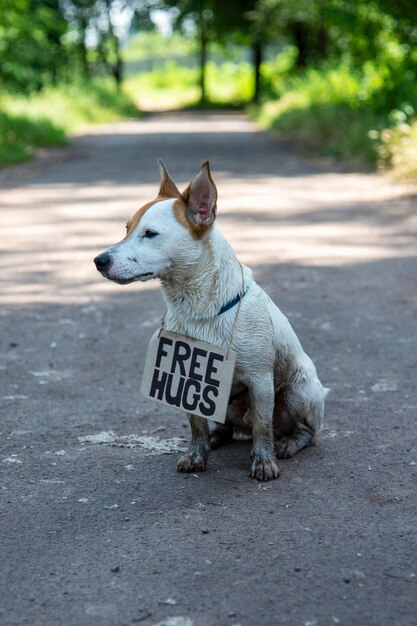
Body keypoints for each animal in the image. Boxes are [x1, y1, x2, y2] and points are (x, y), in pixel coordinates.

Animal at [95, 160, 324, 478]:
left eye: (150, 234)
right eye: (127, 229)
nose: (98, 261)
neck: (197, 308)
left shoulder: (260, 380)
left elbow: (262, 428)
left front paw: (264, 461)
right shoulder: (186, 378)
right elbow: (196, 424)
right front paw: (197, 454)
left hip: (297, 392)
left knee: (304, 431)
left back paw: (289, 442)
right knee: (227, 427)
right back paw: (218, 437)